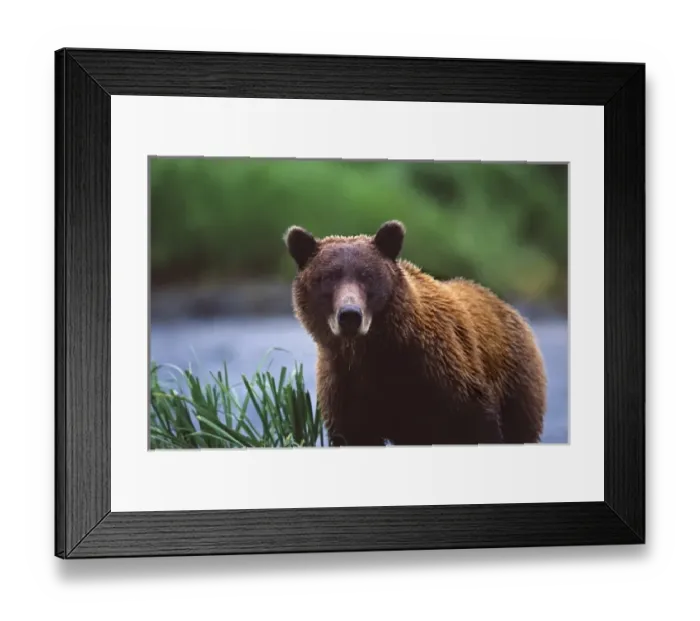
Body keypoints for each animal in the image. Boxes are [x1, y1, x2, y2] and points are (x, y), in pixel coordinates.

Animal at [283, 220, 547, 447]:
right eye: (328, 277)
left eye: (367, 275)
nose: (350, 315)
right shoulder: (345, 386)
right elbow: (353, 434)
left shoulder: (444, 377)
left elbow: (478, 425)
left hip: (517, 380)